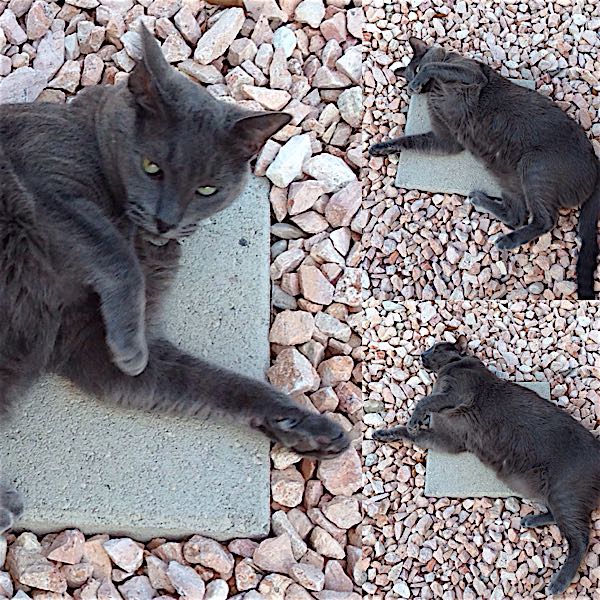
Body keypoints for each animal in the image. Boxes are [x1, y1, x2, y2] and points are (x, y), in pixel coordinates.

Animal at [0, 25, 350, 531]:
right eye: (152, 168)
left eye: (207, 190)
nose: (167, 221)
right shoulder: (43, 182)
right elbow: (114, 255)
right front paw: (130, 349)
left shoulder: (89, 346)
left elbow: (217, 385)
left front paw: (305, 428)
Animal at [369, 37, 600, 300]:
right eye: (408, 74)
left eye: (415, 70)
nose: (414, 84)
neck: (437, 90)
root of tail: (595, 163)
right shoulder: (446, 140)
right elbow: (409, 140)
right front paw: (381, 148)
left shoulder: (471, 73)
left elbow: (435, 65)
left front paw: (422, 77)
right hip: (507, 176)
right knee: (518, 216)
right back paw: (479, 200)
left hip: (533, 165)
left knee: (545, 220)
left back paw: (506, 241)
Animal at [372, 336, 600, 595]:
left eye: (436, 347)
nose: (422, 353)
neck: (451, 368)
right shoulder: (448, 438)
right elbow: (409, 433)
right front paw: (385, 434)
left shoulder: (455, 393)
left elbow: (425, 401)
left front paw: (413, 420)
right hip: (550, 494)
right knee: (560, 519)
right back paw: (530, 521)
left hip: (565, 494)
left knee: (581, 538)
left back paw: (558, 583)